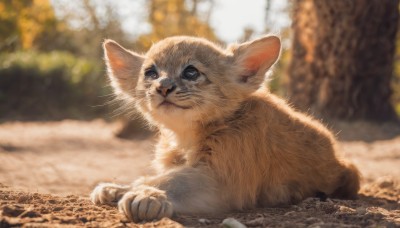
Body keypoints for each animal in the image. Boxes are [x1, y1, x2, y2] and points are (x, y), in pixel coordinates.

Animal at [90, 35, 360, 223]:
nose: (163, 87)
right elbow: (161, 174)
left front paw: (144, 196)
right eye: (151, 72)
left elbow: (174, 179)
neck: (185, 137)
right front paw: (118, 188)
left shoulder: (223, 179)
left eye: (191, 72)